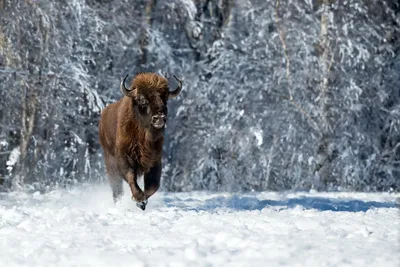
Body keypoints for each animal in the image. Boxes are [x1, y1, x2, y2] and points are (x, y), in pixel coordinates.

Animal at [99, 72, 183, 210]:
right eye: (142, 99)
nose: (159, 118)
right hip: (109, 159)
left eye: (165, 98)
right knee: (116, 186)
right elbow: (130, 176)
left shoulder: (154, 159)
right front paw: (139, 199)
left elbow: (153, 184)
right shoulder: (124, 157)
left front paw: (142, 201)